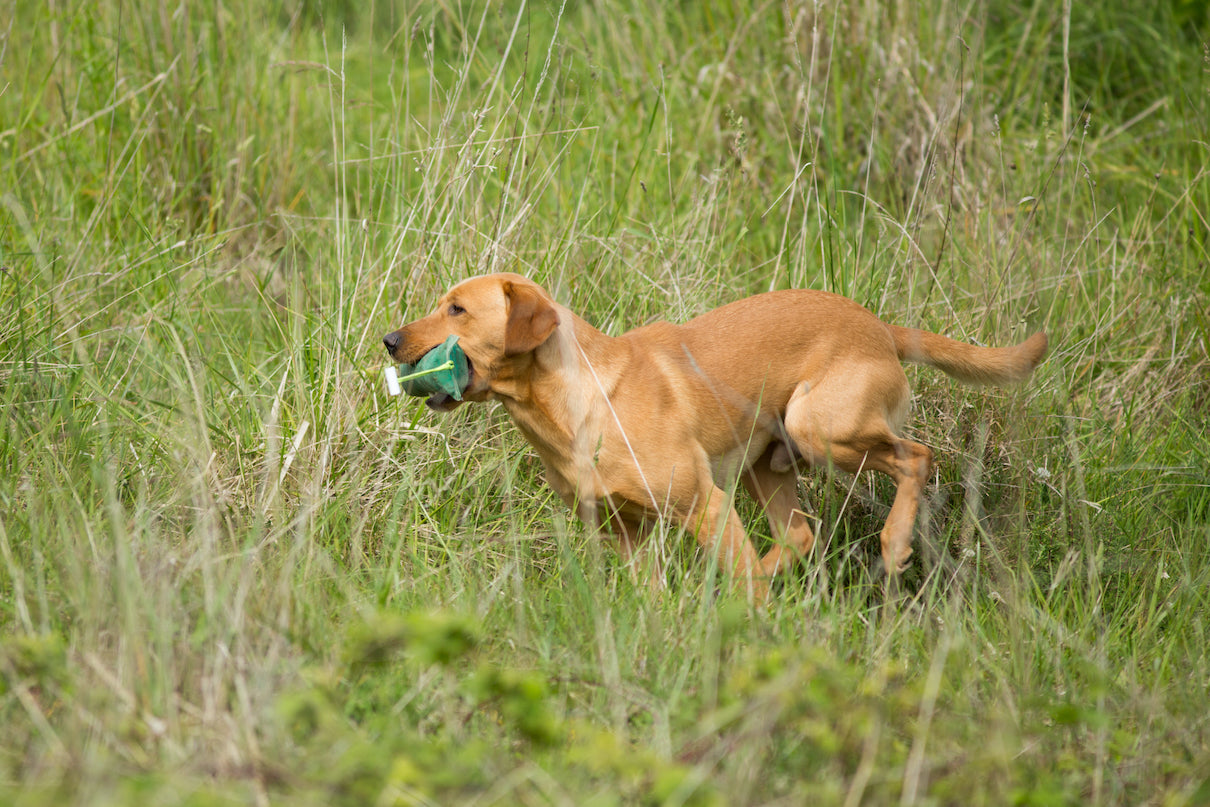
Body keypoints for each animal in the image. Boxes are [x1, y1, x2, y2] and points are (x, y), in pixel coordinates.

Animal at [382, 273, 1045, 600]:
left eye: (457, 309)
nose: (389, 340)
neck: (575, 404)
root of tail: (881, 327)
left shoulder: (703, 503)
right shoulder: (624, 531)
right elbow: (649, 595)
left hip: (818, 427)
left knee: (918, 457)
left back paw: (894, 541)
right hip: (767, 466)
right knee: (800, 534)